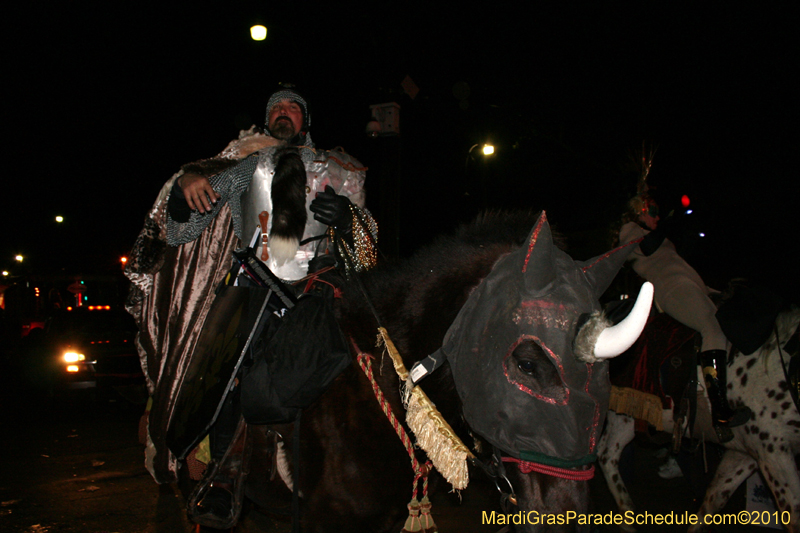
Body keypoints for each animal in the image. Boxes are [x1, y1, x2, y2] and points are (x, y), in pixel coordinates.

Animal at [596, 306, 796, 528]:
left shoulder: (749, 452)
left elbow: (713, 499)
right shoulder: (772, 451)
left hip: (625, 413)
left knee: (606, 453)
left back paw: (627, 515)